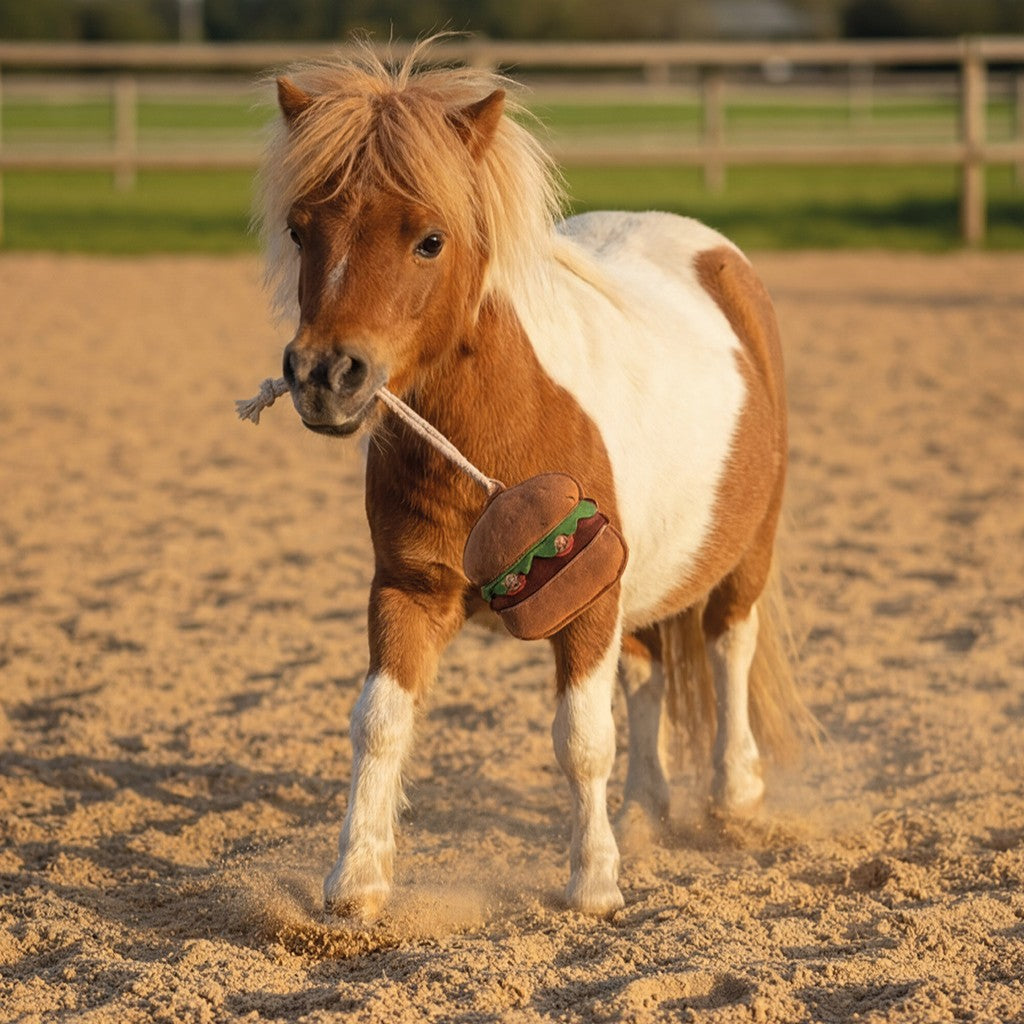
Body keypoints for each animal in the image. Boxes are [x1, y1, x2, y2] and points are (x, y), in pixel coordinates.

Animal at [257, 39, 812, 919]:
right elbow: (379, 722)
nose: (324, 375)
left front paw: (593, 884)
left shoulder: (586, 604)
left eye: (430, 239)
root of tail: (716, 254)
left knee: (730, 649)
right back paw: (645, 814)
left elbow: (581, 740)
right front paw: (356, 882)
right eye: (299, 228)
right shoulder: (408, 591)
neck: (498, 439)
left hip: (744, 556)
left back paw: (735, 799)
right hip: (641, 588)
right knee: (649, 674)